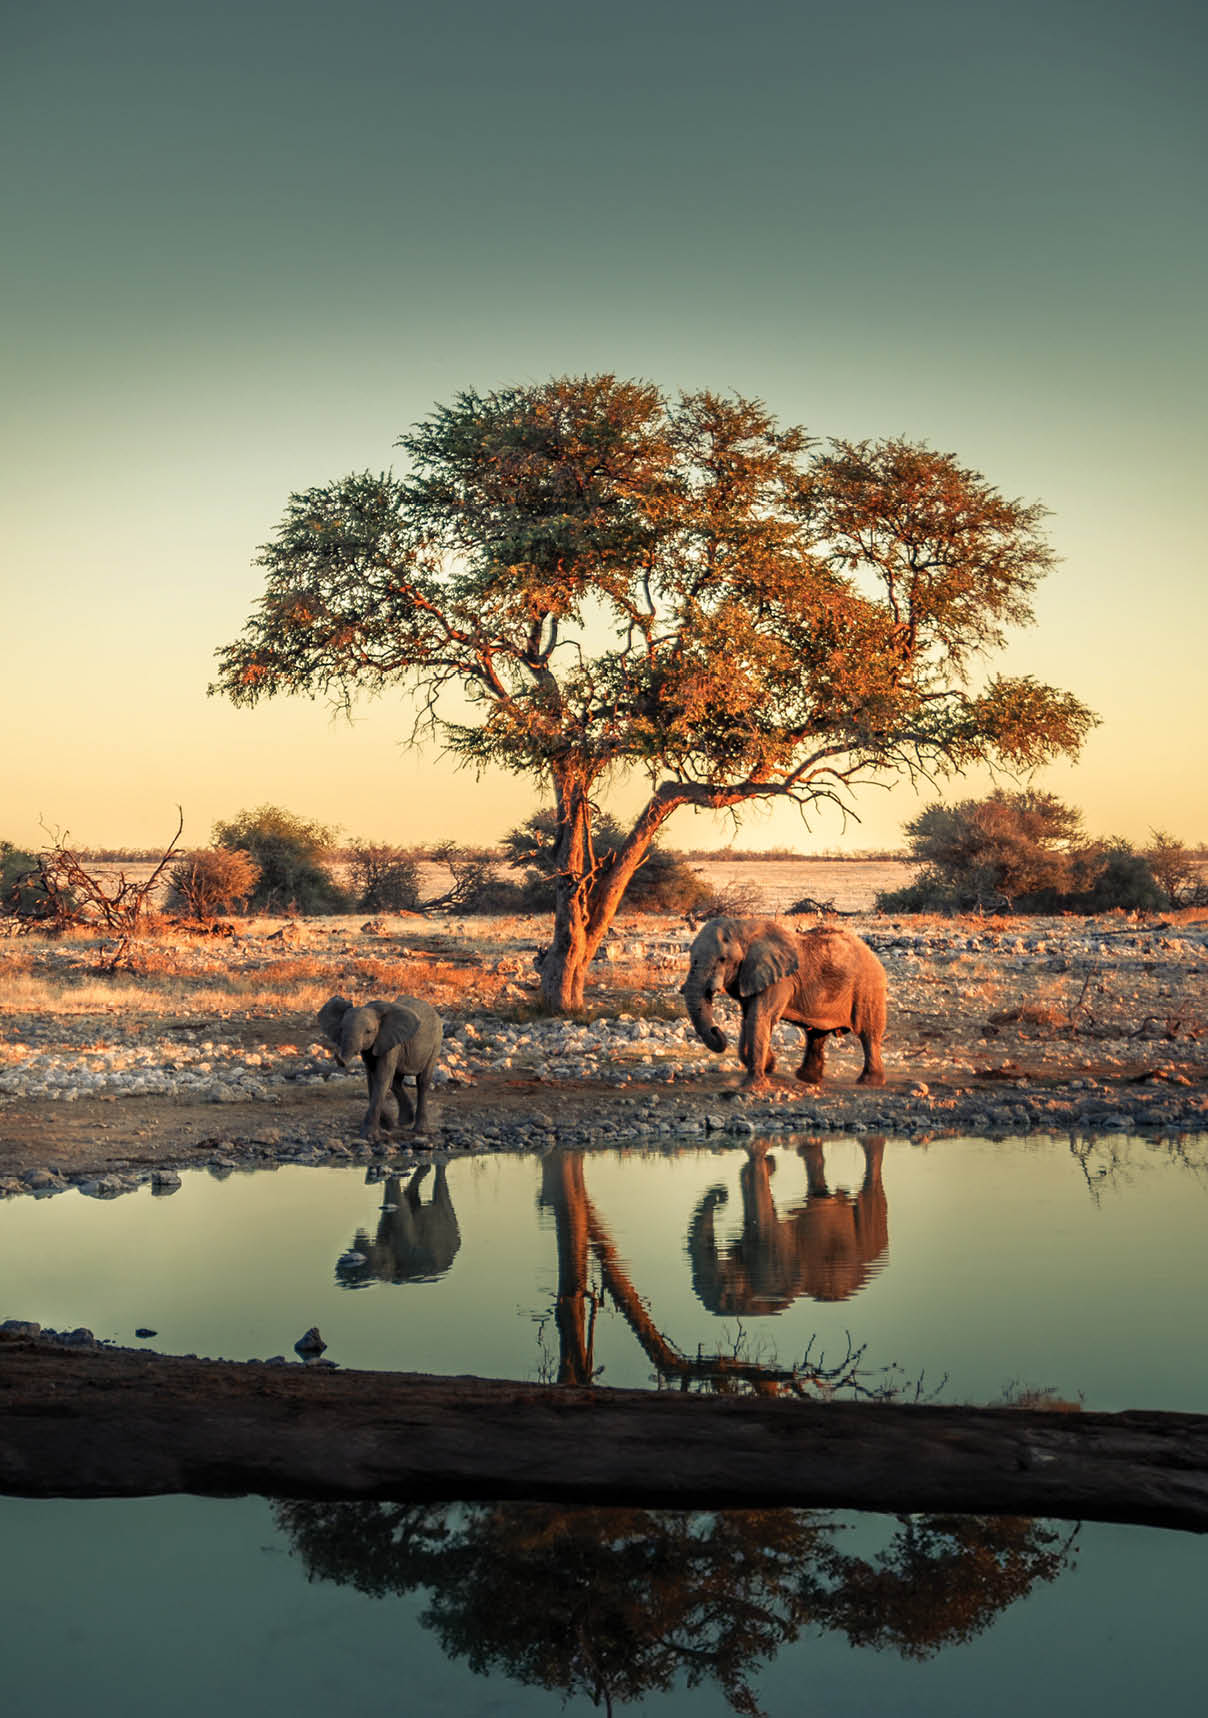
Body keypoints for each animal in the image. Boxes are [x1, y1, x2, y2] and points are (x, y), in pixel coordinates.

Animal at [317, 993, 443, 1138]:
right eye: (341, 1029)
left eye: (369, 1031)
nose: (338, 1057)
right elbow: (373, 1079)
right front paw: (387, 1125)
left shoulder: (390, 1042)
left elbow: (381, 1078)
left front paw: (370, 1135)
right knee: (396, 1082)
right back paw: (404, 1122)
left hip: (436, 1041)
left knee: (422, 1081)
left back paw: (421, 1130)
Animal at [681, 916, 887, 1090]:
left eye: (722, 959)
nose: (716, 1029)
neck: (744, 926)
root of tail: (872, 954)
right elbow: (749, 1019)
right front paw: (770, 1066)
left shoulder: (778, 980)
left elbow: (760, 1017)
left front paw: (754, 1086)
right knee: (816, 1034)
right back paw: (808, 1079)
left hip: (868, 988)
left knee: (868, 1034)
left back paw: (868, 1082)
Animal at [688, 1138, 889, 1313]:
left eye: (722, 1293)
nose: (723, 1194)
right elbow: (747, 1176)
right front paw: (769, 1164)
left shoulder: (771, 1262)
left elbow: (752, 1178)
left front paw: (762, 1156)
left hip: (870, 1229)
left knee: (869, 1191)